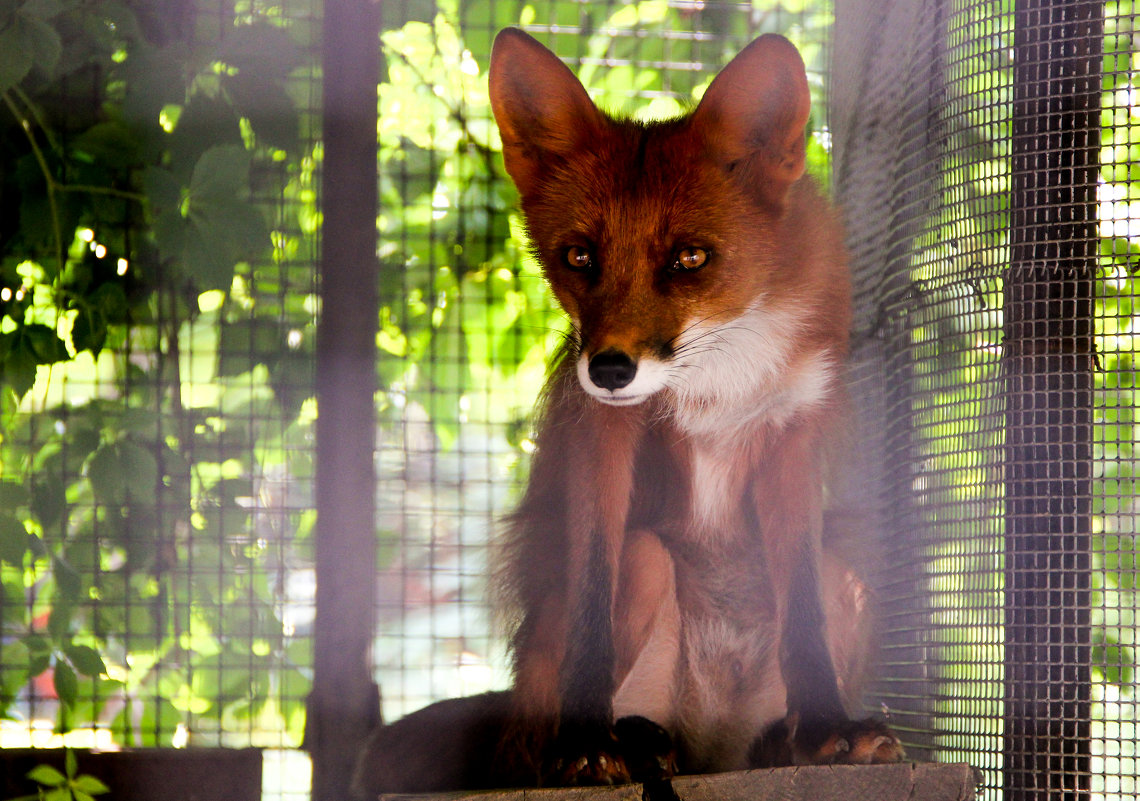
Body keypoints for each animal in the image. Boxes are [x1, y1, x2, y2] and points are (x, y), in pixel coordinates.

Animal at [351, 28, 902, 797]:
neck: (717, 377)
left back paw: (772, 742)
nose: (610, 369)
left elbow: (804, 620)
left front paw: (826, 730)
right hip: (637, 572)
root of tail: (707, 739)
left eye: (690, 258)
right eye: (579, 256)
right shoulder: (602, 432)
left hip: (843, 578)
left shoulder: (793, 432)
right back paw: (624, 743)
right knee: (566, 703)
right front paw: (586, 742)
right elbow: (591, 592)